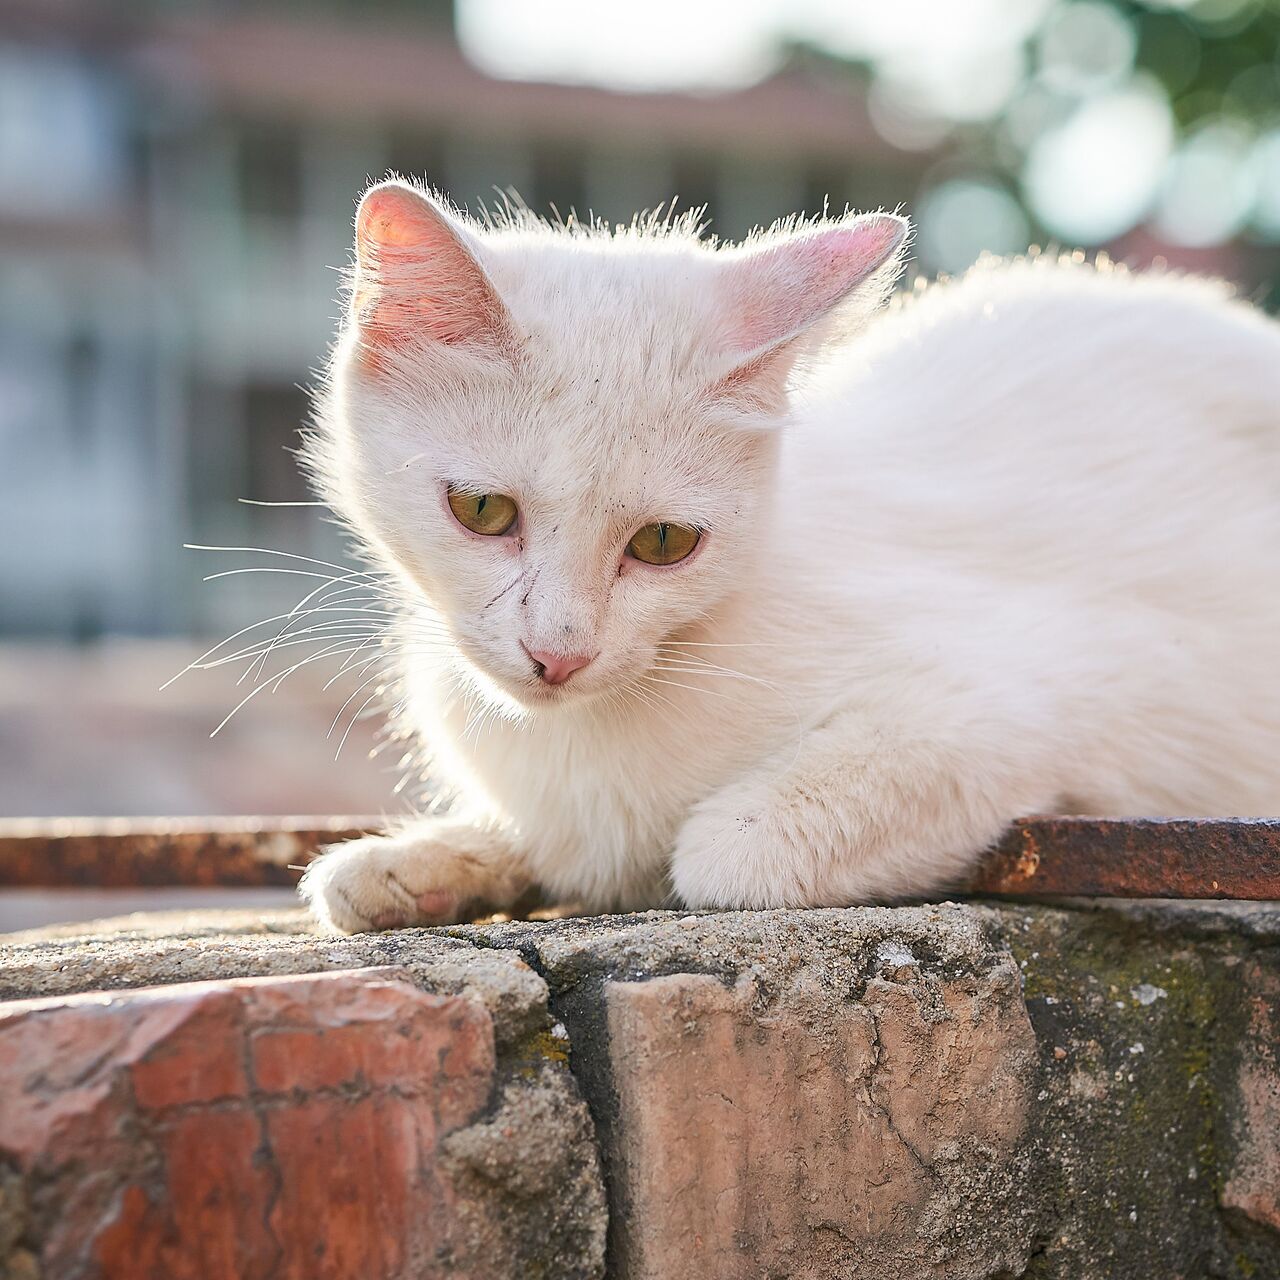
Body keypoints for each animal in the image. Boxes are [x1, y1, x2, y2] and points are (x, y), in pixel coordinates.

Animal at [296, 177, 1280, 931]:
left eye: (663, 543)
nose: (559, 653)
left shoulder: (1083, 685)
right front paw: (422, 860)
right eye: (483, 511)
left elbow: (724, 854)